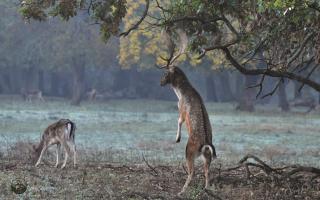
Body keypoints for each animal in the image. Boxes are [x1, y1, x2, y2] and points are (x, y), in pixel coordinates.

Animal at [158, 28, 218, 195]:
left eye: (166, 73)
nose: (160, 82)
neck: (180, 93)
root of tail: (205, 143)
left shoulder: (181, 109)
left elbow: (179, 120)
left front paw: (177, 138)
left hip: (189, 151)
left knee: (192, 172)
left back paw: (181, 191)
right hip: (207, 155)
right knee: (207, 171)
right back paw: (206, 188)